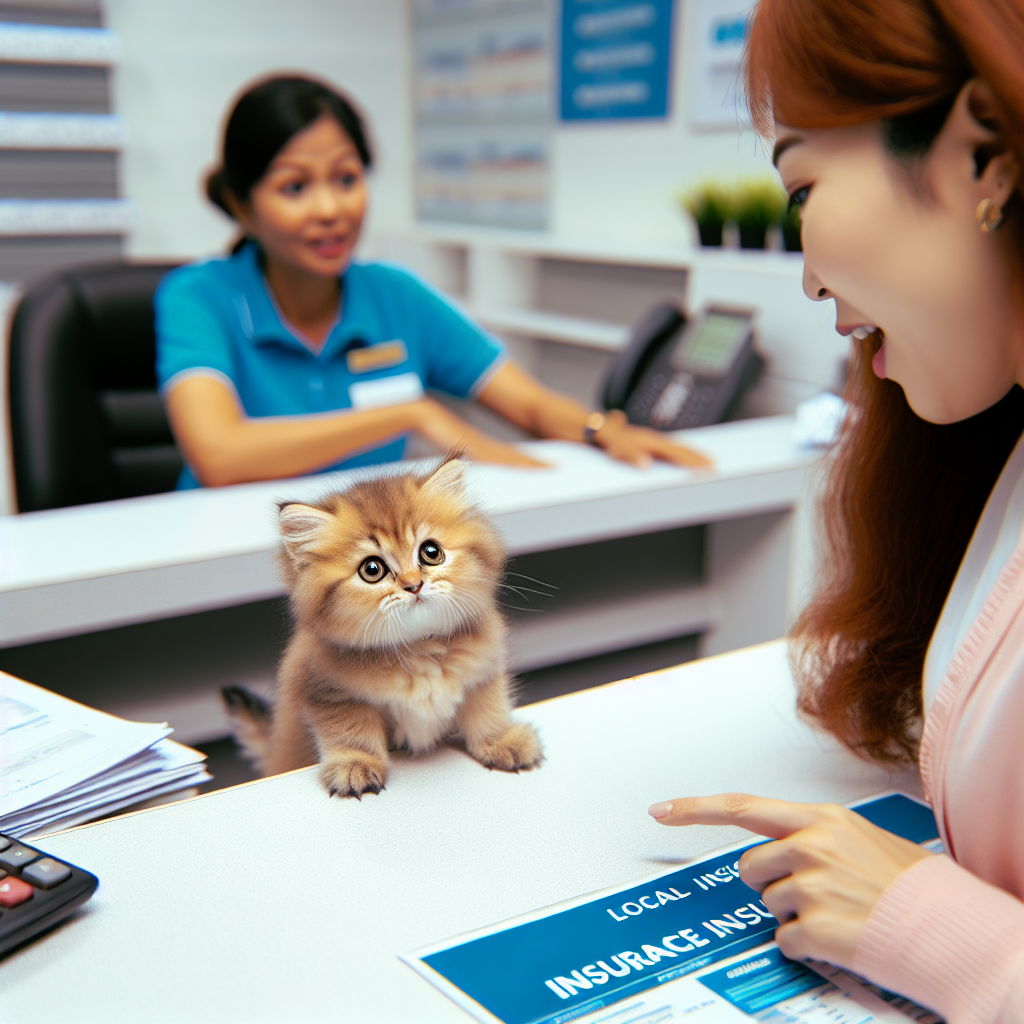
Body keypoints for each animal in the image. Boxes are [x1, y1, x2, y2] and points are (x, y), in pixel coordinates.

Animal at [224, 456, 544, 798]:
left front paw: (502, 741)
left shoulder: (482, 671)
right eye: (372, 569)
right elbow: (351, 731)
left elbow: (489, 709)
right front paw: (355, 766)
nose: (414, 585)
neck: (418, 646)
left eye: (431, 553)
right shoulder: (329, 692)